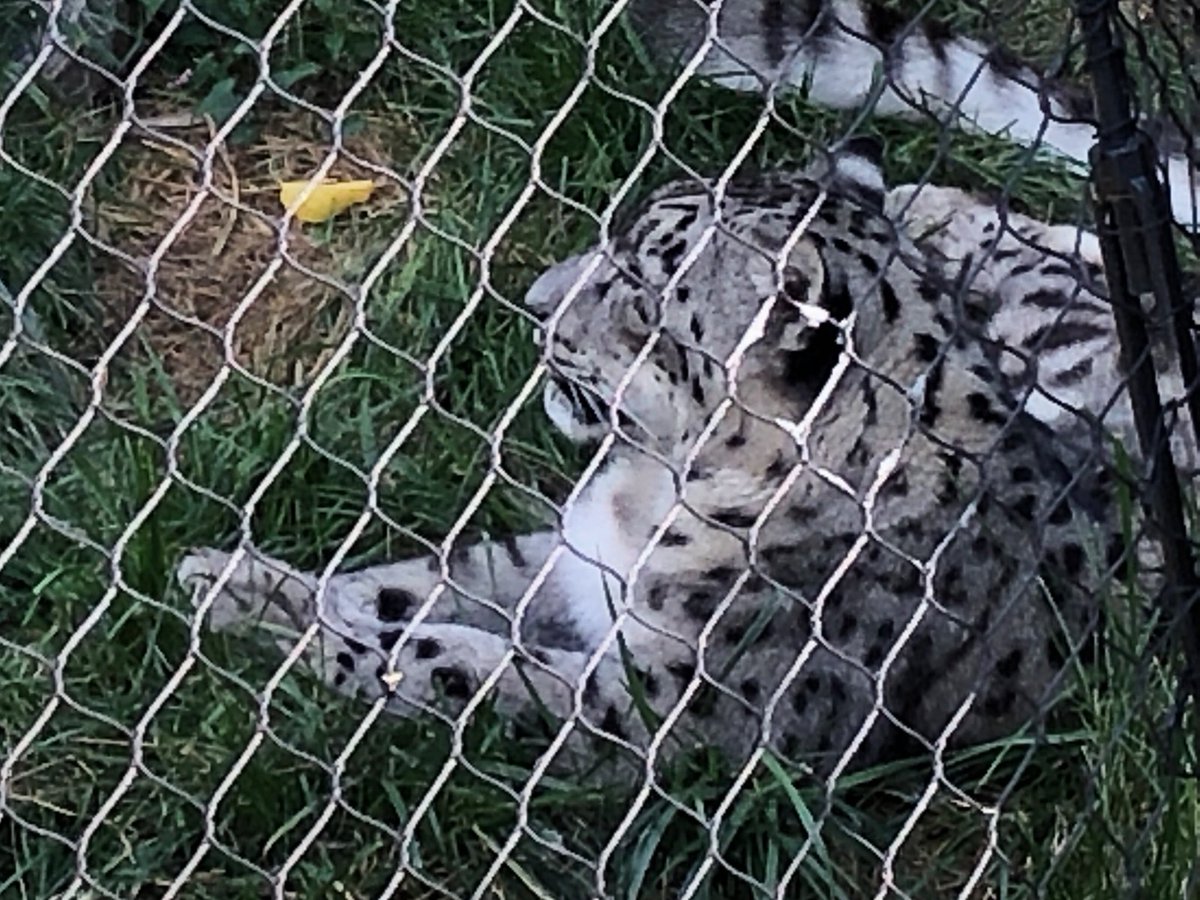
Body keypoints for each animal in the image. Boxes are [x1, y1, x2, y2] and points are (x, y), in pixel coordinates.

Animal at [176, 142, 1137, 779]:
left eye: (641, 286)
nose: (533, 304)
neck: (653, 490)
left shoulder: (666, 707)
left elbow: (456, 661)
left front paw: (300, 633)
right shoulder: (567, 561)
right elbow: (429, 581)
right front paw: (242, 583)